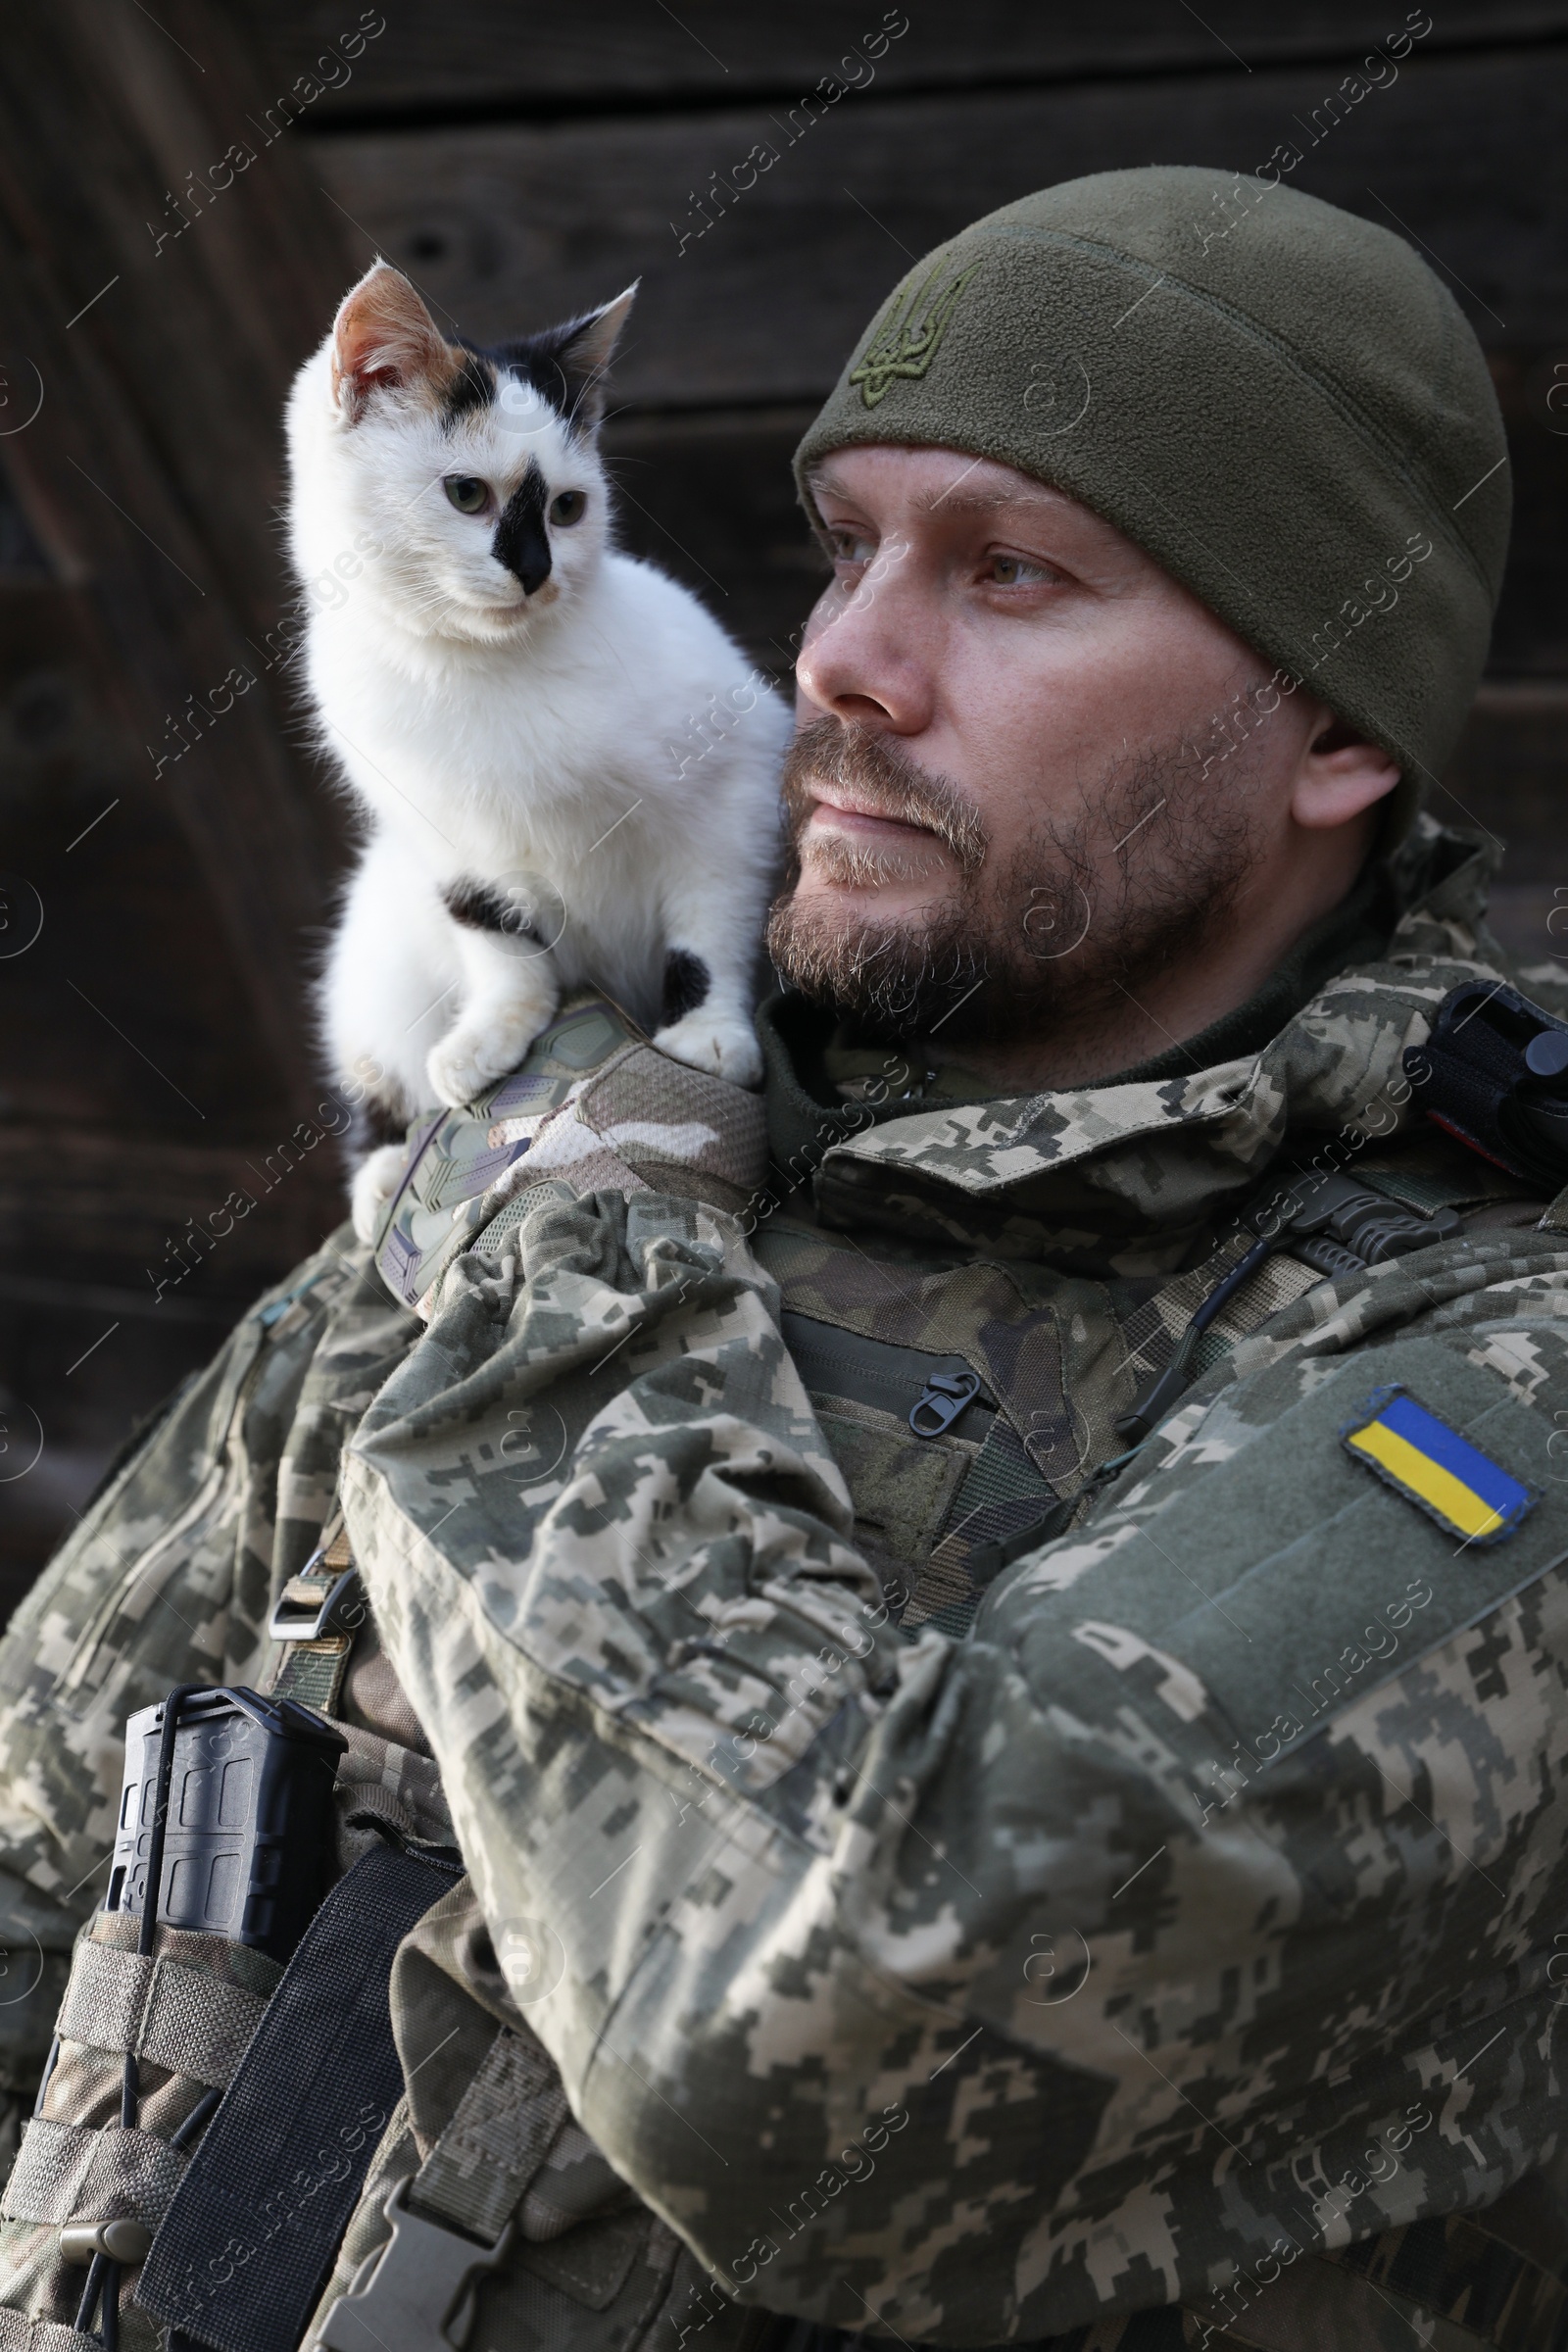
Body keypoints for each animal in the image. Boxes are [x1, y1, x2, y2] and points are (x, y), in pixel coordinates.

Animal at [283, 265, 789, 1242]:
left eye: (567, 507)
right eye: (467, 495)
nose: (535, 568)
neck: (482, 669)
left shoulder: (735, 784)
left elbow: (709, 921)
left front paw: (707, 1033)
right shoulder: (439, 838)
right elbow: (494, 934)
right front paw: (496, 1028)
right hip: (375, 949)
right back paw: (382, 1174)